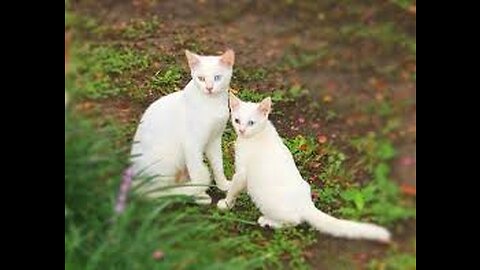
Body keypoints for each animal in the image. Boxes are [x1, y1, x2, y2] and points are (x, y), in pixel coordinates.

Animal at [129, 49, 234, 205]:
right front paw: (200, 195)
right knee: (157, 193)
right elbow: (197, 171)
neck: (212, 103)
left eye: (217, 78)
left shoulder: (214, 140)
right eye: (201, 78)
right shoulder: (191, 144)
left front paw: (223, 185)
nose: (209, 88)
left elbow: (218, 165)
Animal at [219, 94, 392, 243]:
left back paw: (268, 221)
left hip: (265, 200)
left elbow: (234, 188)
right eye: (237, 120)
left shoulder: (242, 172)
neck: (255, 136)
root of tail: (306, 204)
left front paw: (226, 203)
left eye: (251, 123)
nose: (242, 130)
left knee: (294, 221)